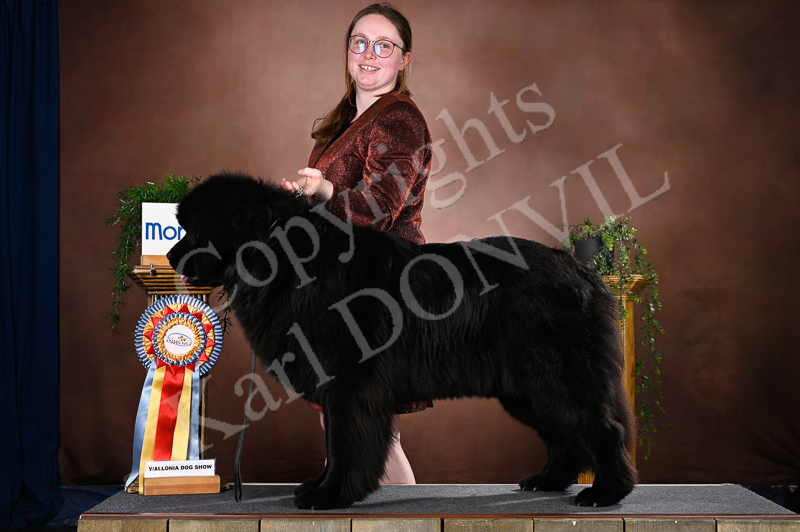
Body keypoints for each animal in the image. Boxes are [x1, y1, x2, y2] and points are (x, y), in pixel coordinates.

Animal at [167, 171, 637, 509]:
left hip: (554, 376)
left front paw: (329, 494)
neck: (283, 258)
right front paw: (319, 487)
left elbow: (345, 444)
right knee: (565, 436)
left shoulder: (350, 386)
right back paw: (548, 481)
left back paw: (606, 492)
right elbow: (334, 444)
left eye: (196, 231)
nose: (170, 256)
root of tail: (581, 271)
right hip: (526, 388)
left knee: (602, 429)